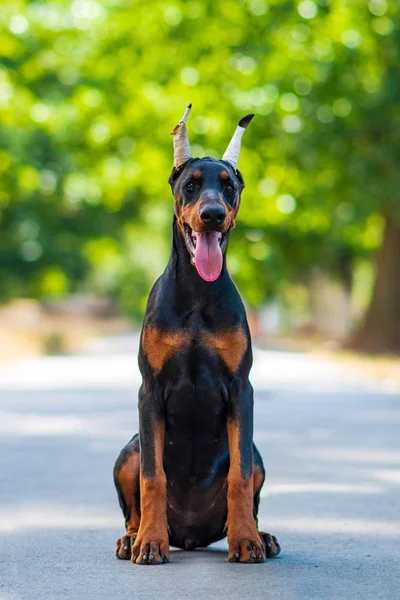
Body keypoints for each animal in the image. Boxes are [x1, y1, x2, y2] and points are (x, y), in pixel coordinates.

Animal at [113, 105, 282, 564]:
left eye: (228, 186)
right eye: (190, 185)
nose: (212, 215)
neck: (196, 296)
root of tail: (189, 536)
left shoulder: (241, 388)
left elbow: (239, 476)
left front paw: (246, 541)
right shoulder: (149, 389)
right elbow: (152, 477)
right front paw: (150, 544)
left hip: (259, 454)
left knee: (249, 478)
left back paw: (263, 536)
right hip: (129, 448)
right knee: (133, 502)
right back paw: (133, 539)